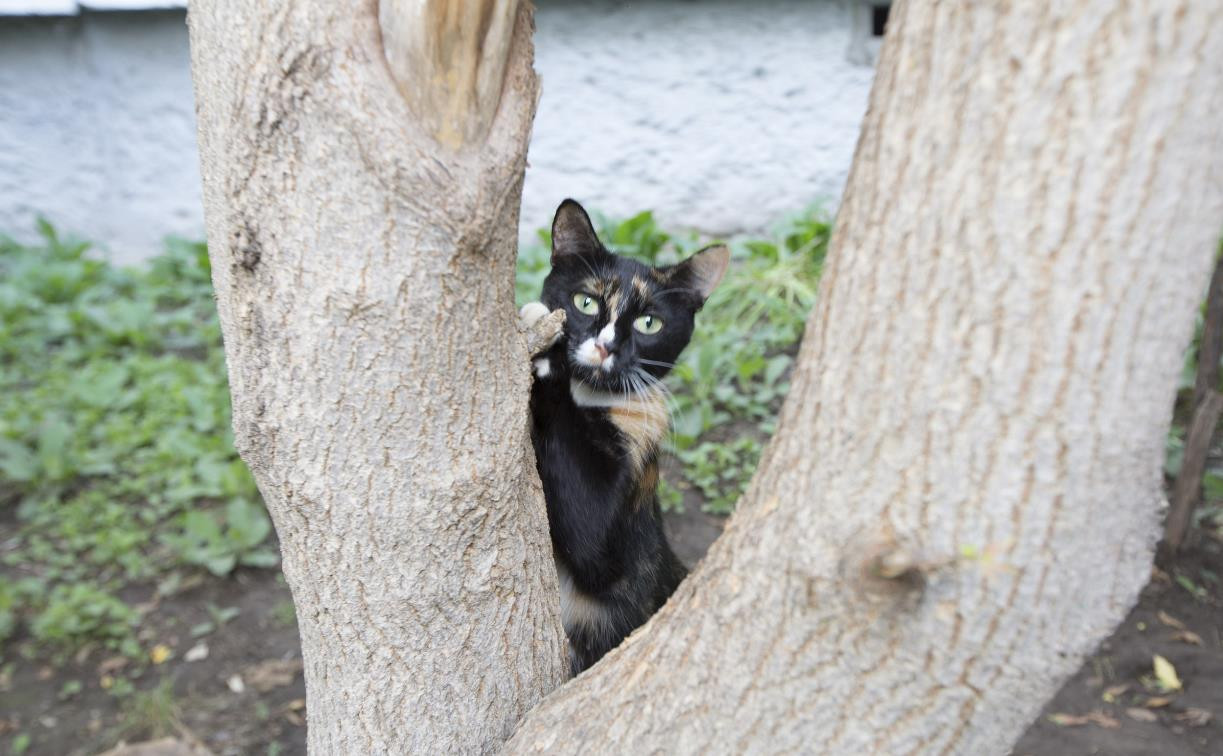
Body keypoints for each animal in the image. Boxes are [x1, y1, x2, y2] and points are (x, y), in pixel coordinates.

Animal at [520, 198, 728, 670]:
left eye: (649, 323)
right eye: (585, 301)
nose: (605, 346)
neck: (588, 396)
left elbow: (592, 538)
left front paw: (548, 354)